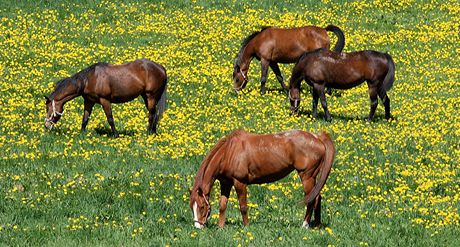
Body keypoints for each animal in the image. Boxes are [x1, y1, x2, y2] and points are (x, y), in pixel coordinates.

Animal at [189, 130, 336, 229]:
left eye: (201, 207)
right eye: (192, 207)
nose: (198, 227)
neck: (228, 152)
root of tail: (318, 137)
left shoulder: (240, 183)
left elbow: (243, 207)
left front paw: (246, 227)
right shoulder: (226, 183)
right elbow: (222, 205)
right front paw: (221, 227)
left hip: (307, 177)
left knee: (312, 200)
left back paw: (305, 225)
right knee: (317, 198)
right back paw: (317, 226)